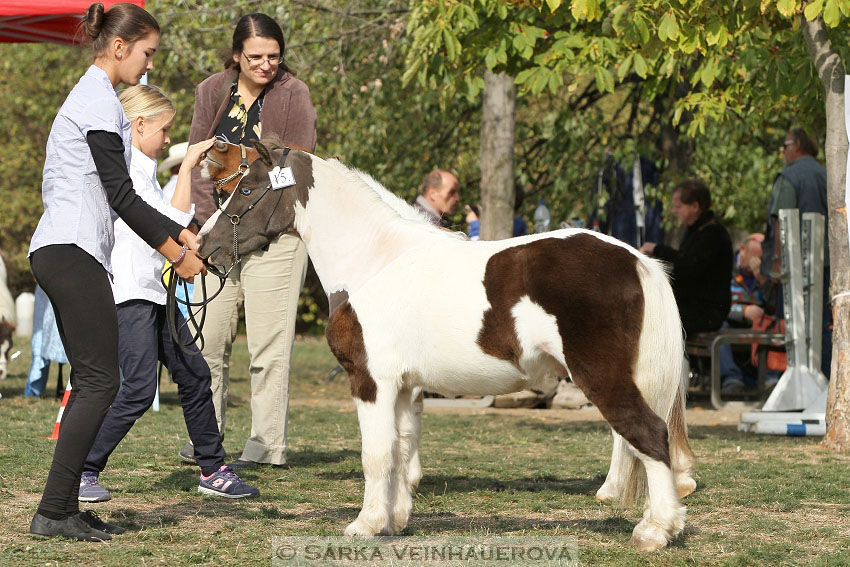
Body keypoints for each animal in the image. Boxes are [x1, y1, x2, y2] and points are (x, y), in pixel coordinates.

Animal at [199, 136, 696, 552]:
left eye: (247, 190)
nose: (204, 246)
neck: (374, 260)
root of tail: (637, 260)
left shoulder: (371, 382)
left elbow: (375, 454)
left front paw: (365, 524)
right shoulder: (403, 387)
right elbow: (400, 450)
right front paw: (394, 521)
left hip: (603, 378)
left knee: (648, 435)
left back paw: (654, 532)